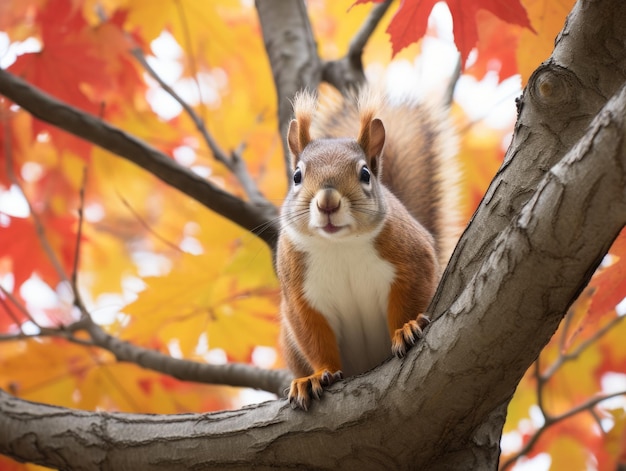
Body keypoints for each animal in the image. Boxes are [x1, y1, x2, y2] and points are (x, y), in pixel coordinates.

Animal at [276, 86, 458, 412]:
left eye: (364, 174)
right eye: (296, 176)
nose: (328, 202)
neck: (340, 246)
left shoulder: (413, 259)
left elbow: (409, 300)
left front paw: (406, 328)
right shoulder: (299, 293)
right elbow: (313, 337)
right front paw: (317, 376)